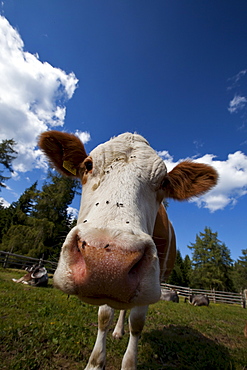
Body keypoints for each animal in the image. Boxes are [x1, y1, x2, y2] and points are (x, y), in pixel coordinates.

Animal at [37, 132, 217, 368]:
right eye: (88, 165)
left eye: (164, 181)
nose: (107, 263)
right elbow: (104, 317)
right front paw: (95, 362)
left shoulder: (152, 284)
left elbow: (137, 323)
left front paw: (129, 362)